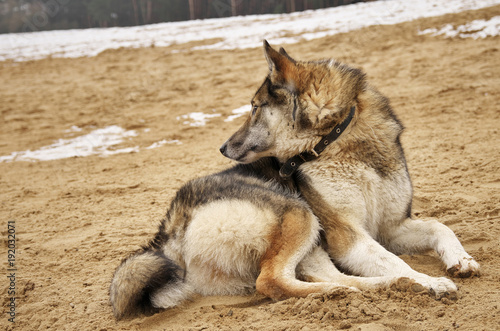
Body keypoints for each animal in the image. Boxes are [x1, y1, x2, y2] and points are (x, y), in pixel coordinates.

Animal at [108, 40, 476, 320]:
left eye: (255, 107)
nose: (223, 147)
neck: (339, 142)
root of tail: (169, 228)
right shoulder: (347, 235)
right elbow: (393, 259)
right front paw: (429, 281)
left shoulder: (392, 227)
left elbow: (439, 226)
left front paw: (461, 260)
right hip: (300, 213)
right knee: (271, 281)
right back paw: (367, 288)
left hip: (309, 236)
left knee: (318, 276)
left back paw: (377, 287)